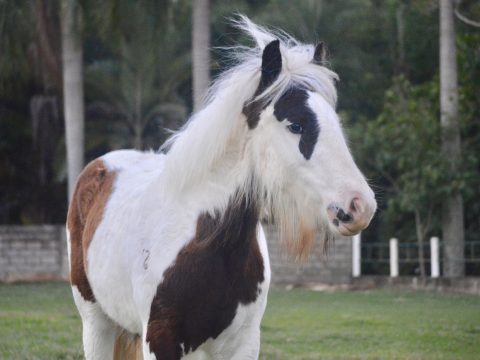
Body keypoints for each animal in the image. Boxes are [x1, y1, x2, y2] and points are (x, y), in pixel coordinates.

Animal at [66, 15, 376, 358]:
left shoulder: (243, 343)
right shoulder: (159, 340)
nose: (360, 205)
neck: (203, 241)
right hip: (97, 324)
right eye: (296, 125)